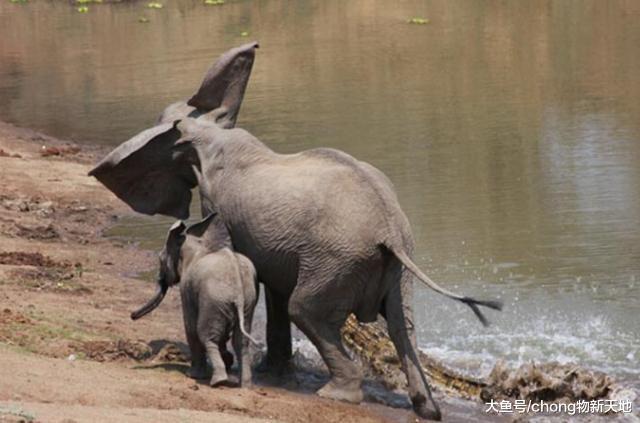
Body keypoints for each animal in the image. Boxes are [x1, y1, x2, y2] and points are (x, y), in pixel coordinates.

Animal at [131, 213, 259, 388]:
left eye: (160, 259)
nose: (132, 315)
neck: (197, 244)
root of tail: (237, 287)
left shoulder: (187, 288)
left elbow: (190, 327)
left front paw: (193, 375)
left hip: (214, 298)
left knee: (206, 335)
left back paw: (218, 381)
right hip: (247, 301)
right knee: (241, 341)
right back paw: (245, 385)